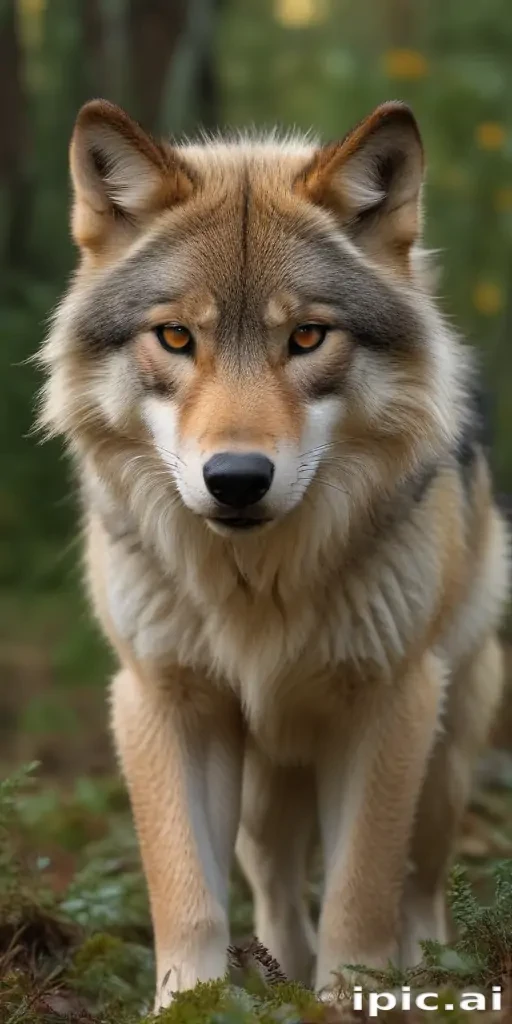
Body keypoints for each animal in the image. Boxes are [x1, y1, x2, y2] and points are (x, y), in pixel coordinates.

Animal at [39, 98, 508, 1009]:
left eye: (308, 337)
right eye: (175, 337)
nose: (236, 480)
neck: (255, 587)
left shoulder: (388, 704)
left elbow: (360, 898)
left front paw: (353, 1005)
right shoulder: (165, 700)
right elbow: (188, 898)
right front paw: (191, 1008)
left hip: (446, 752)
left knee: (421, 888)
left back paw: (430, 975)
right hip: (265, 787)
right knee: (278, 890)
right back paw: (279, 980)